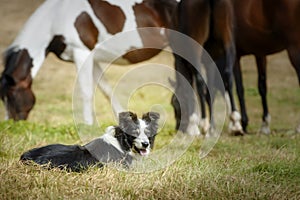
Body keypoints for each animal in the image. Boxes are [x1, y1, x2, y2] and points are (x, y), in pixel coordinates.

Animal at [169, 0, 244, 136]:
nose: (178, 128)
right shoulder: (210, 61)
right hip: (228, 39)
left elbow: (190, 89)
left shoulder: (180, 60)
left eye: (174, 104)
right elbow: (210, 93)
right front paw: (212, 127)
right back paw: (235, 122)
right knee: (228, 75)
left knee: (200, 82)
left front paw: (194, 126)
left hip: (196, 45)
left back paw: (203, 123)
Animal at [232, 0, 300, 134]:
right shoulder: (260, 53)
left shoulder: (234, 54)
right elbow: (262, 86)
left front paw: (241, 123)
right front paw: (265, 124)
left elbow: (238, 88)